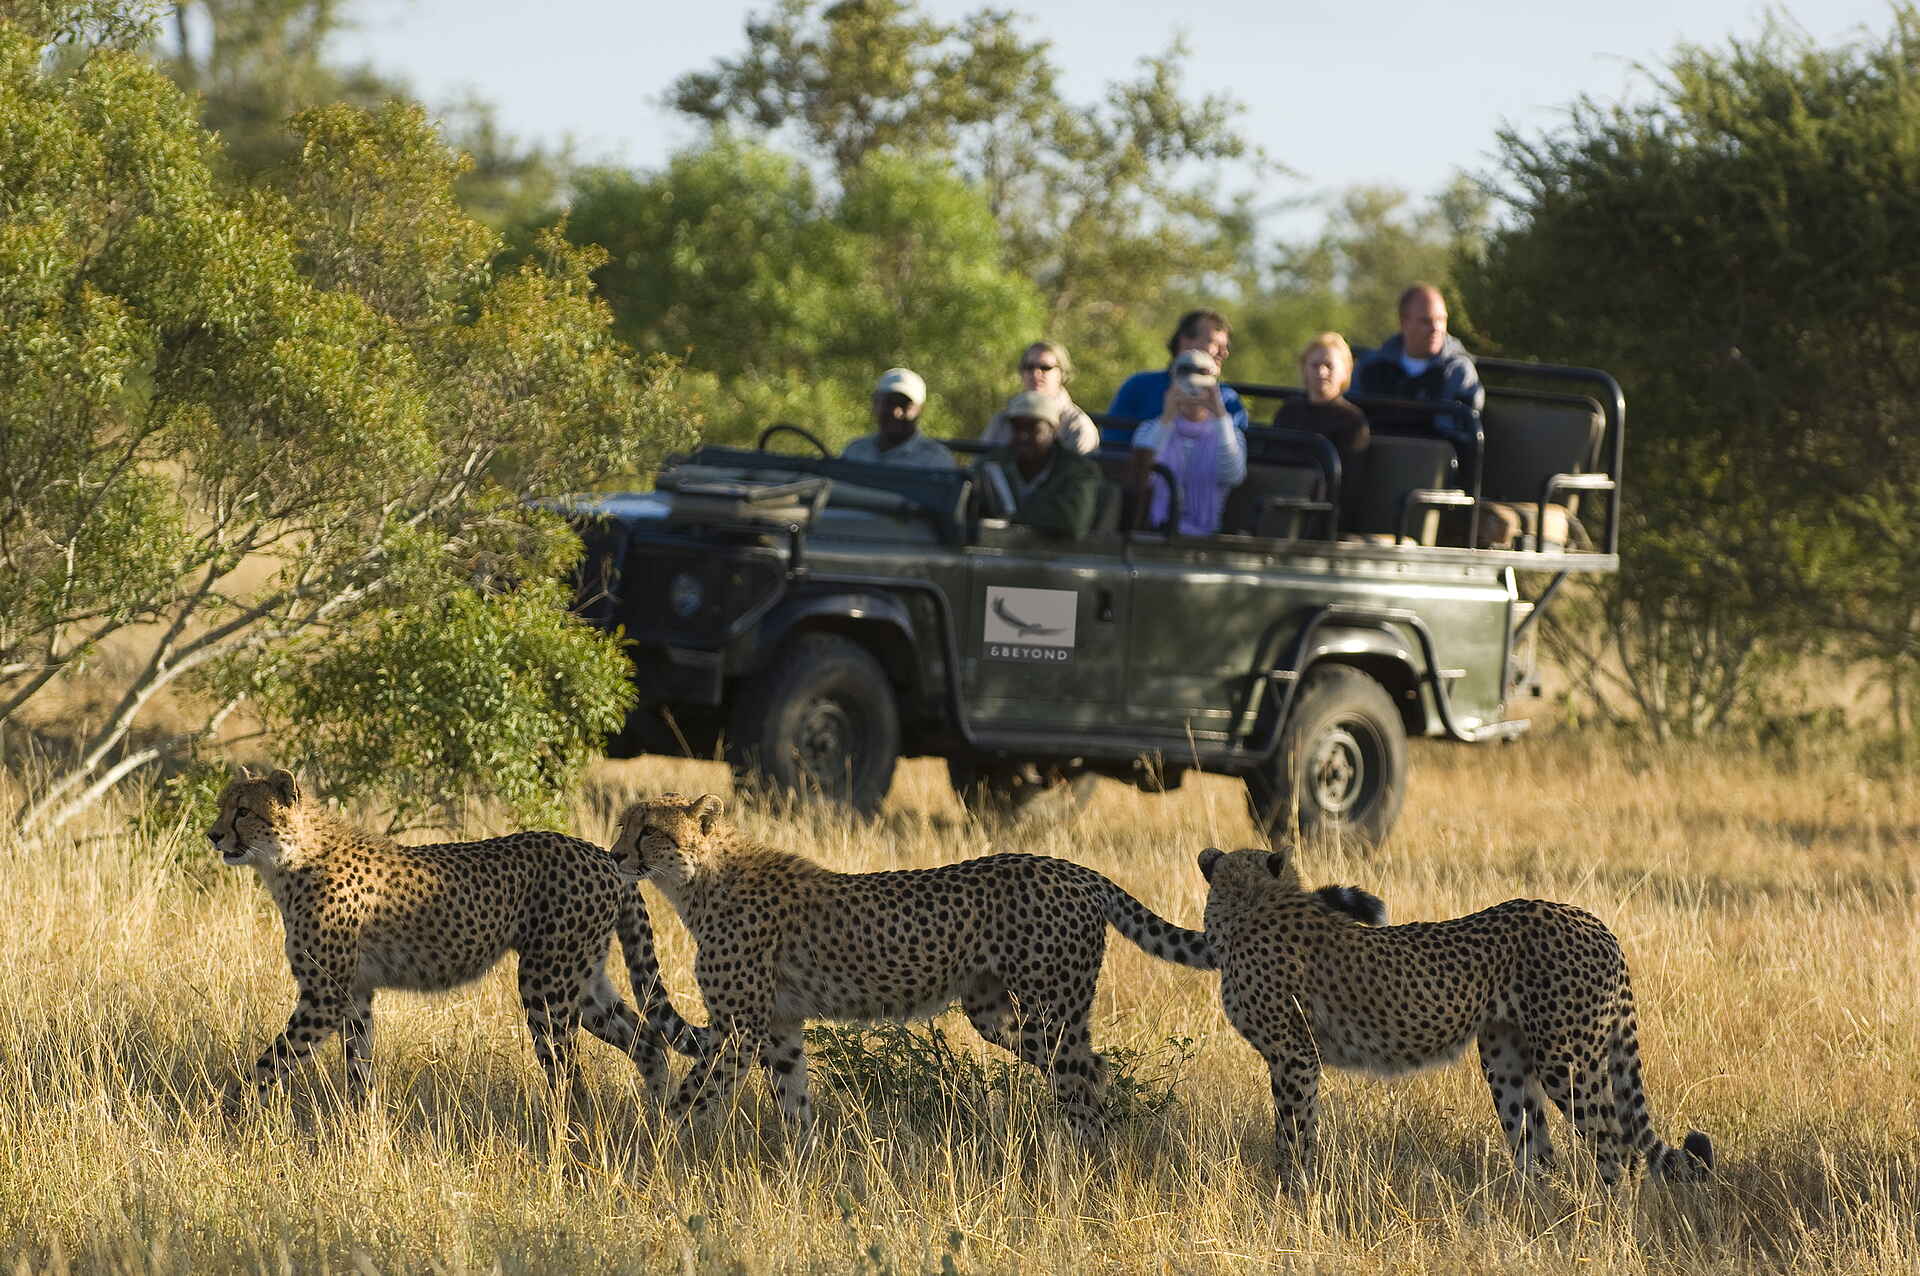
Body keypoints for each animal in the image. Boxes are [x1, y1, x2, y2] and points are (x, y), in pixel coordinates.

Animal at [207, 767, 706, 1105]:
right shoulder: (355, 994)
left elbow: (268, 1063)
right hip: (583, 984)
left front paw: (228, 1114)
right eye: (222, 806)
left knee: (571, 1075)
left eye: (244, 811)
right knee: (650, 1041)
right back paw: (656, 1119)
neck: (291, 859)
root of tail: (602, 853)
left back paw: (571, 1136)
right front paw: (361, 1130)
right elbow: (358, 1068)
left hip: (545, 985)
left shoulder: (323, 997)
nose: (212, 835)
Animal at [608, 791, 1215, 1141]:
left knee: (1082, 1091)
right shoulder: (777, 1027)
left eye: (650, 831)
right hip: (999, 1014)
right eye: (622, 825)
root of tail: (1077, 870)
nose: (615, 855)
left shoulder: (741, 1029)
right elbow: (794, 1101)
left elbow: (692, 1097)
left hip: (1052, 1012)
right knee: (1095, 1071)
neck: (700, 881)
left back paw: (1080, 1171)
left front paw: (656, 1152)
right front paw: (802, 1169)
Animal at [1197, 846, 1714, 1187]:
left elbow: (1293, 1131)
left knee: (1614, 1141)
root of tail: (1591, 920)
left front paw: (1291, 1189)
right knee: (1538, 1148)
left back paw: (1607, 1215)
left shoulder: (1295, 1056)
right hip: (1506, 1059)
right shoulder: (1297, 1057)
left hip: (1565, 1062)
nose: (1208, 854)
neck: (1252, 905)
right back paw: (1533, 1212)